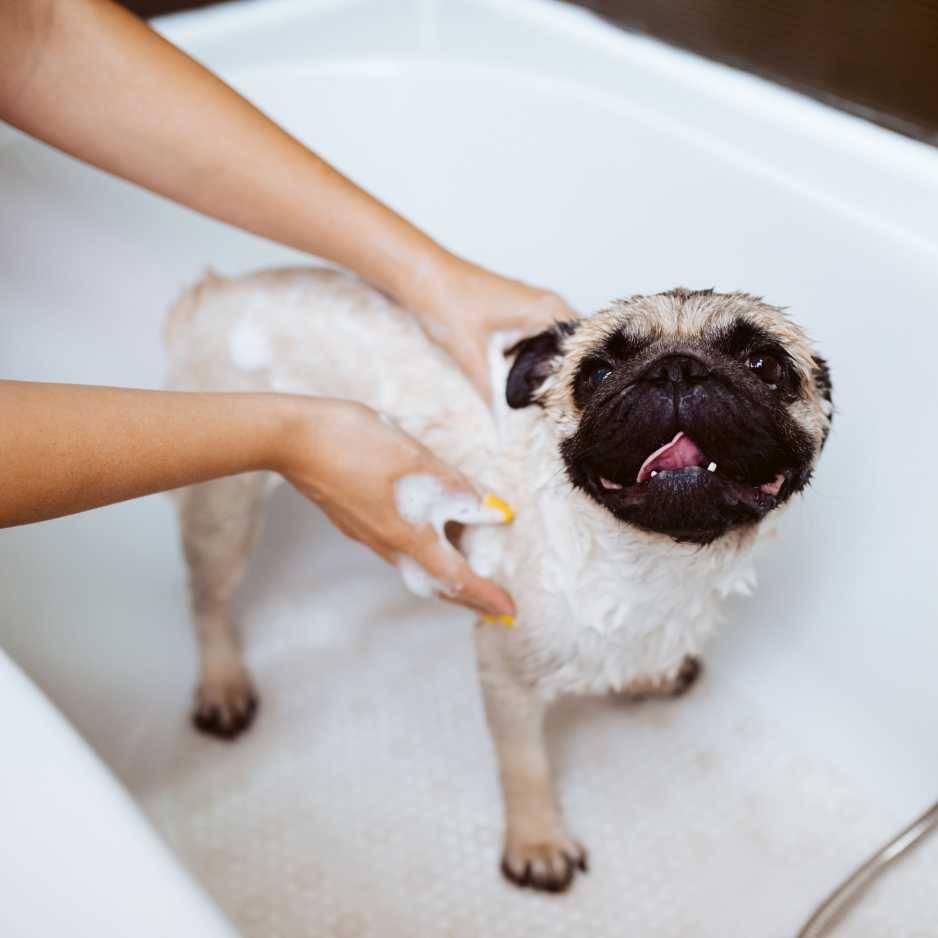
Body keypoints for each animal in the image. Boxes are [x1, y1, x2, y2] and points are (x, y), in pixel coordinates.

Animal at [165, 266, 828, 892]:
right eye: (597, 373)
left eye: (766, 365)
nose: (678, 370)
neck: (652, 560)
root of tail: (214, 292)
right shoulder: (505, 671)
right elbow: (525, 764)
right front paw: (537, 842)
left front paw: (648, 674)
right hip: (225, 502)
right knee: (208, 598)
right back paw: (222, 684)